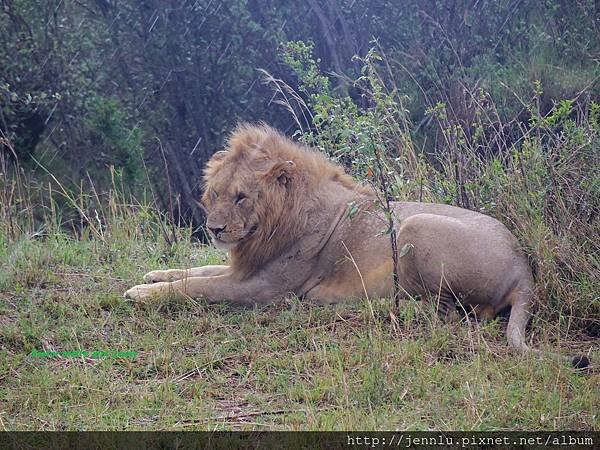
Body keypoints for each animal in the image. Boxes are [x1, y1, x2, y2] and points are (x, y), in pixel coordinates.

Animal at [124, 124, 588, 370]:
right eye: (215, 194)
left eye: (241, 197)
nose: (215, 228)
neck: (269, 228)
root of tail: (525, 266)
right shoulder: (246, 268)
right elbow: (195, 271)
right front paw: (149, 276)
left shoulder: (264, 290)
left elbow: (197, 287)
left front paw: (141, 294)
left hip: (414, 226)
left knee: (453, 313)